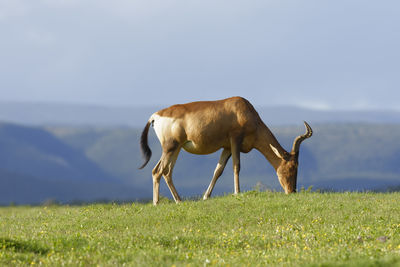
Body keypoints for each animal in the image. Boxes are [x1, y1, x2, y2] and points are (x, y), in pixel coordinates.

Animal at [140, 97, 312, 206]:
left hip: (175, 149)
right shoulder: (235, 139)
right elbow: (237, 166)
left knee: (164, 172)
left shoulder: (227, 147)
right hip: (170, 148)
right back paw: (160, 202)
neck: (243, 109)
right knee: (159, 171)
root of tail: (155, 116)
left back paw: (175, 201)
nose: (291, 191)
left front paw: (206, 197)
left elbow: (218, 170)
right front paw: (237, 193)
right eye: (292, 167)